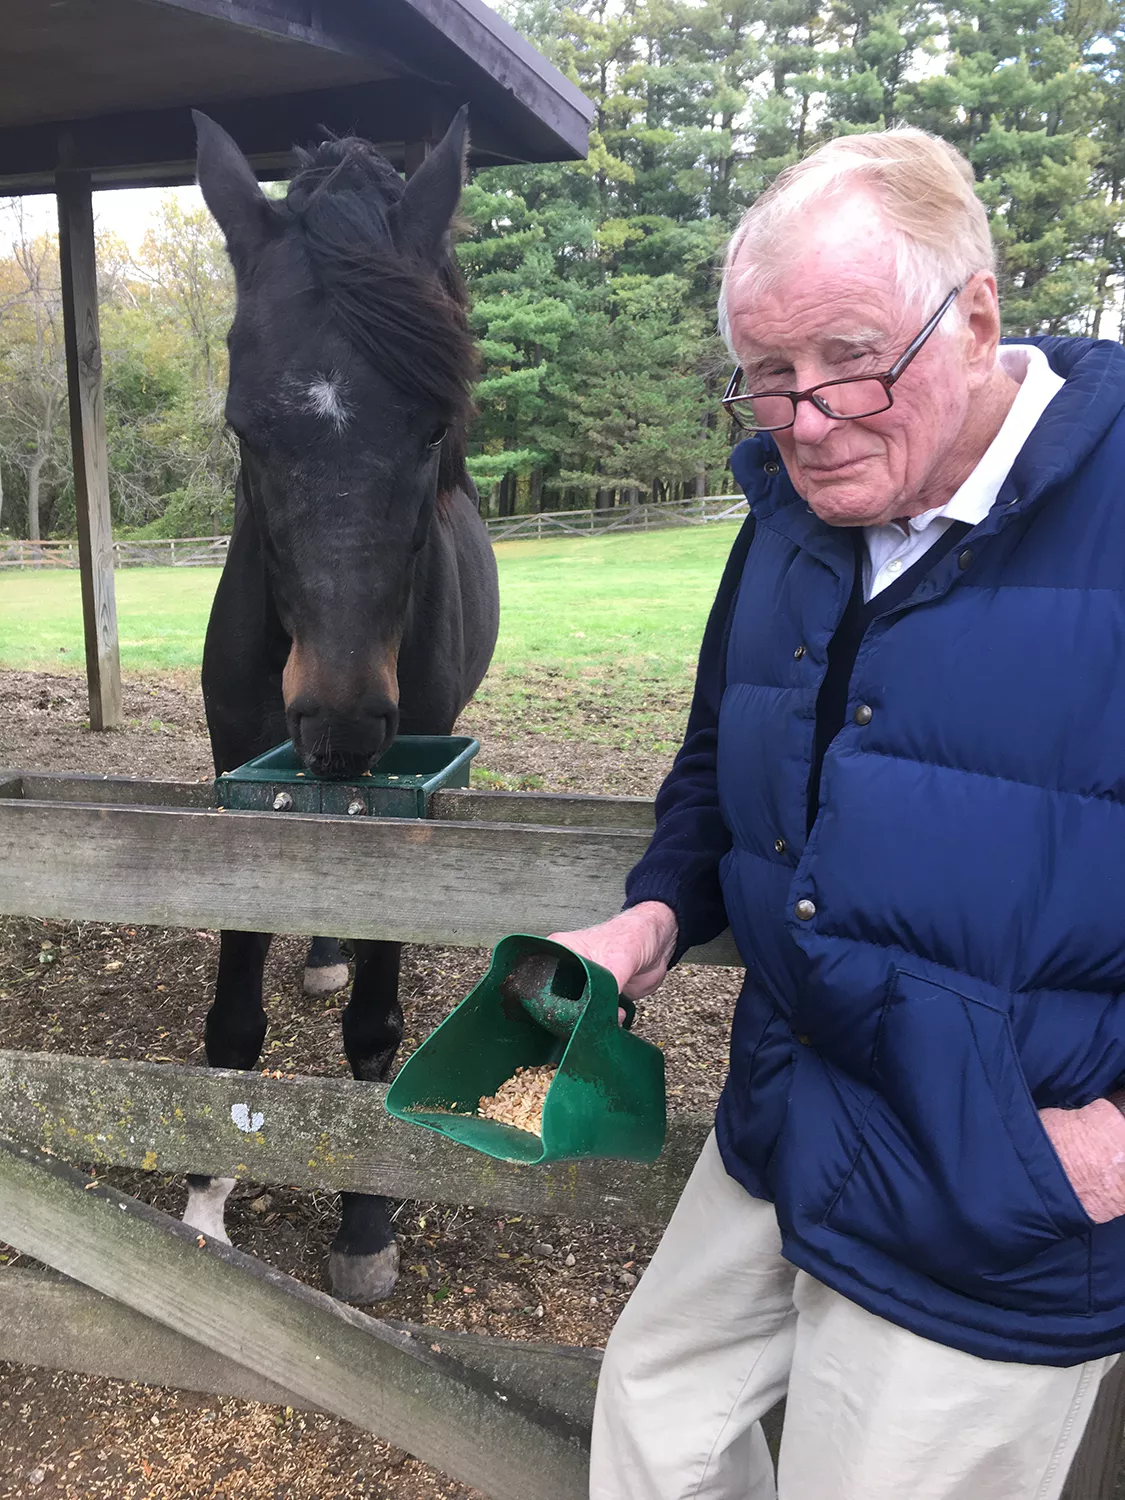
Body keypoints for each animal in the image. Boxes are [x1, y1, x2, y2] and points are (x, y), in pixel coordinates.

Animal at [185, 108, 498, 1302]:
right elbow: (233, 1020)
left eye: (431, 429)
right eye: (245, 430)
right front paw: (204, 1195)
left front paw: (366, 1223)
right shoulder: (239, 773)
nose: (341, 721)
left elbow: (376, 1027)